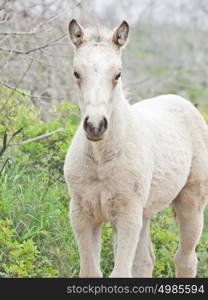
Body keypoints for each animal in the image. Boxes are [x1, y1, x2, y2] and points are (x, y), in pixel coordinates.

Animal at [64, 18, 208, 276]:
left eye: (118, 74)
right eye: (76, 73)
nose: (95, 126)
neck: (101, 159)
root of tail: (183, 102)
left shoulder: (127, 216)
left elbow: (120, 272)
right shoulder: (82, 215)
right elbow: (91, 272)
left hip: (191, 201)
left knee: (185, 259)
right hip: (145, 211)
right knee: (145, 261)